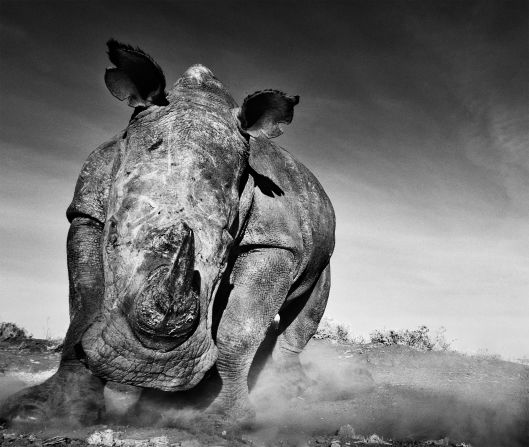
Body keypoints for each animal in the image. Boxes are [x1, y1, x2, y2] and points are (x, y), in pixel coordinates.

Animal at [2, 40, 334, 426]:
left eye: (227, 252)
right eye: (111, 236)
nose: (148, 367)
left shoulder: (276, 242)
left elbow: (240, 330)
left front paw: (222, 425)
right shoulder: (86, 211)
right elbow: (83, 306)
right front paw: (54, 413)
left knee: (310, 302)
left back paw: (292, 392)